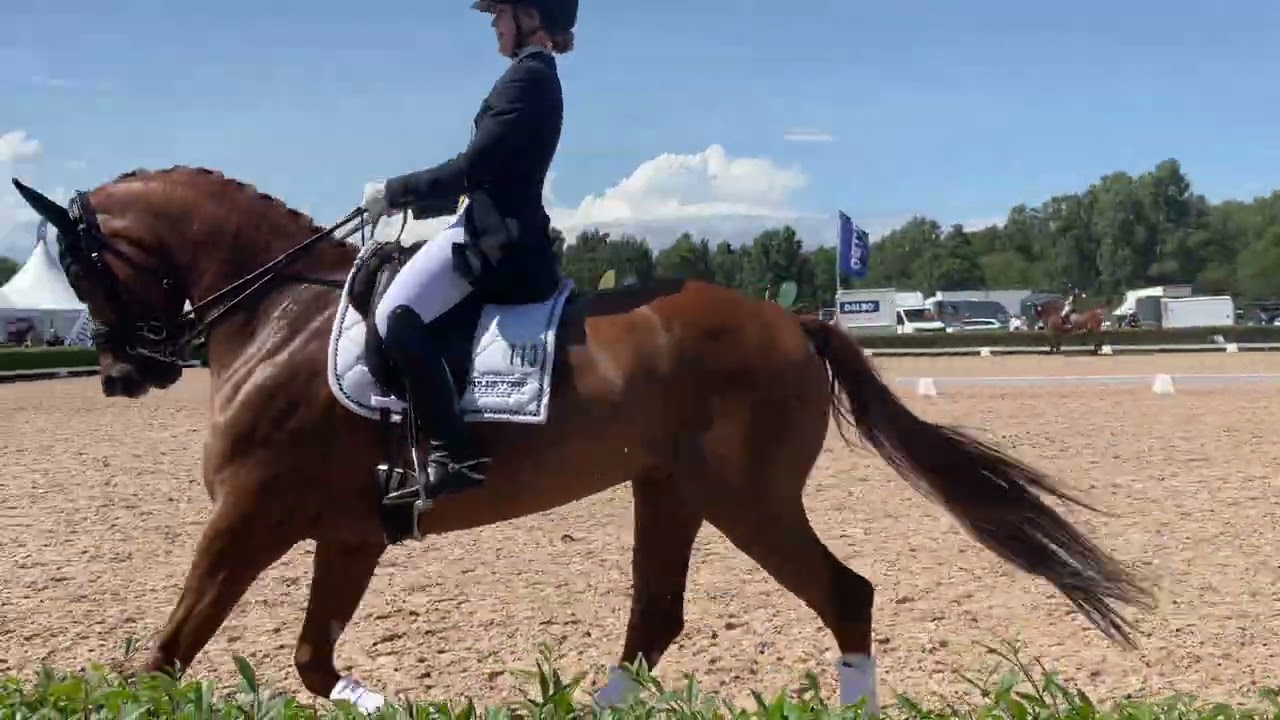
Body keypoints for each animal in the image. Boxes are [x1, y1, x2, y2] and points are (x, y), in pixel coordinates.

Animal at [10, 167, 1153, 712]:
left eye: (85, 267)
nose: (120, 374)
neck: (278, 318)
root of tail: (794, 321)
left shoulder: (250, 517)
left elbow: (168, 654)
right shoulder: (350, 533)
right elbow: (308, 661)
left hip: (744, 499)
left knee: (844, 595)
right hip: (671, 493)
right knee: (657, 618)